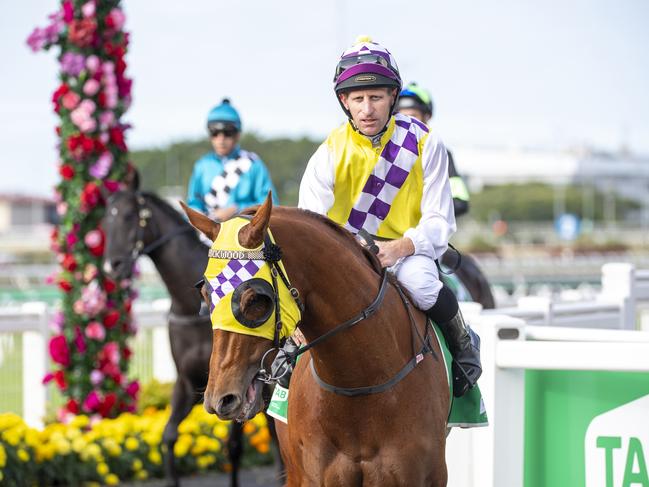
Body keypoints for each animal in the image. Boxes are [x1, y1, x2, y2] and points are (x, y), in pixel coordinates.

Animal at [102, 177, 280, 486]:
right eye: (105, 220)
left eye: (129, 215)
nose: (112, 266)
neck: (192, 310)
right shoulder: (187, 382)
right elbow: (168, 436)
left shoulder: (234, 384)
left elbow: (234, 446)